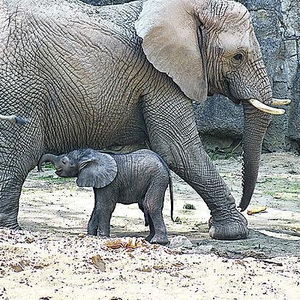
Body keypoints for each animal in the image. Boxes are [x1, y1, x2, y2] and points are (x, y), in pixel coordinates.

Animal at [38, 149, 173, 245]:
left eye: (64, 161)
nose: (40, 169)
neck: (93, 156)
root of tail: (165, 165)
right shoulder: (99, 181)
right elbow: (97, 206)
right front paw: (91, 235)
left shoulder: (110, 183)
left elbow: (105, 206)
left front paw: (103, 237)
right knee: (145, 205)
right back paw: (148, 239)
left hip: (157, 178)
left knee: (150, 205)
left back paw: (158, 242)